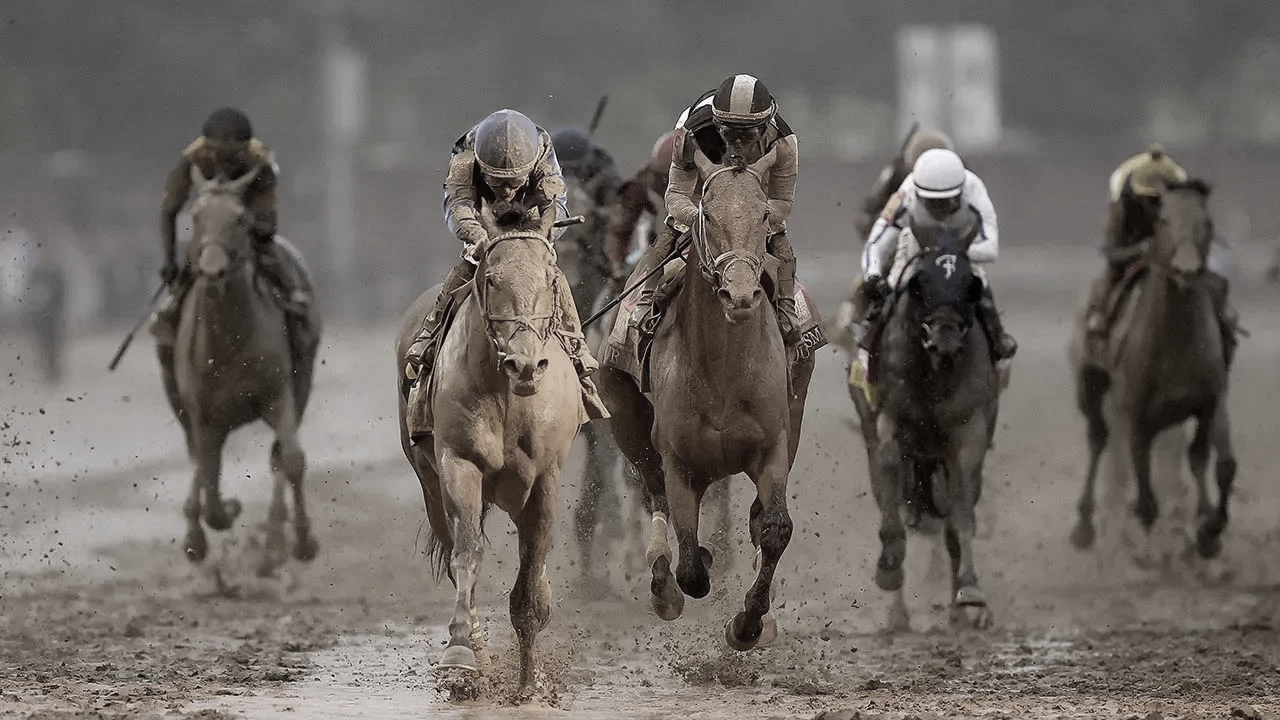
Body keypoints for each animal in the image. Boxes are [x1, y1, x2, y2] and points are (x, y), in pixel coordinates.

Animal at [165, 165, 320, 575]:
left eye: (239, 218)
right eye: (196, 215)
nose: (212, 269)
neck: (228, 339)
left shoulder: (278, 396)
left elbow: (291, 460)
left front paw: (300, 541)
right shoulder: (203, 415)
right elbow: (208, 479)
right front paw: (211, 522)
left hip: (301, 384)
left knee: (280, 457)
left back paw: (274, 542)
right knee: (200, 464)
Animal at [395, 200, 585, 700]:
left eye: (550, 277)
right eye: (493, 279)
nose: (525, 364)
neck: (508, 398)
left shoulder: (544, 481)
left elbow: (530, 582)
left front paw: (530, 683)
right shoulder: (460, 465)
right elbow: (467, 557)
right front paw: (463, 657)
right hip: (431, 483)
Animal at [597, 147, 814, 651]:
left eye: (764, 214)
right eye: (708, 215)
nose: (740, 295)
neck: (724, 374)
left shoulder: (773, 447)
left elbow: (775, 528)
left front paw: (750, 623)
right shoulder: (680, 461)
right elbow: (691, 565)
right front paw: (691, 575)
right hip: (626, 420)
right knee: (652, 495)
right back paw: (661, 587)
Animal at [856, 222, 1001, 631]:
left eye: (971, 284)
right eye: (919, 283)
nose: (944, 341)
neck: (932, 376)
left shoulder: (968, 431)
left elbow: (961, 517)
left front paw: (969, 593)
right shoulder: (889, 421)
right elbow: (893, 498)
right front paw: (889, 567)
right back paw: (897, 613)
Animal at [1068, 178, 1237, 566]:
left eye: (1207, 222)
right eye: (1164, 221)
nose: (1187, 269)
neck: (1175, 344)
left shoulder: (1209, 402)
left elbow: (1209, 461)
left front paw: (1209, 532)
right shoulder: (1136, 416)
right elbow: (1146, 500)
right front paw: (1148, 557)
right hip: (1090, 384)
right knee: (1098, 439)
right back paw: (1084, 526)